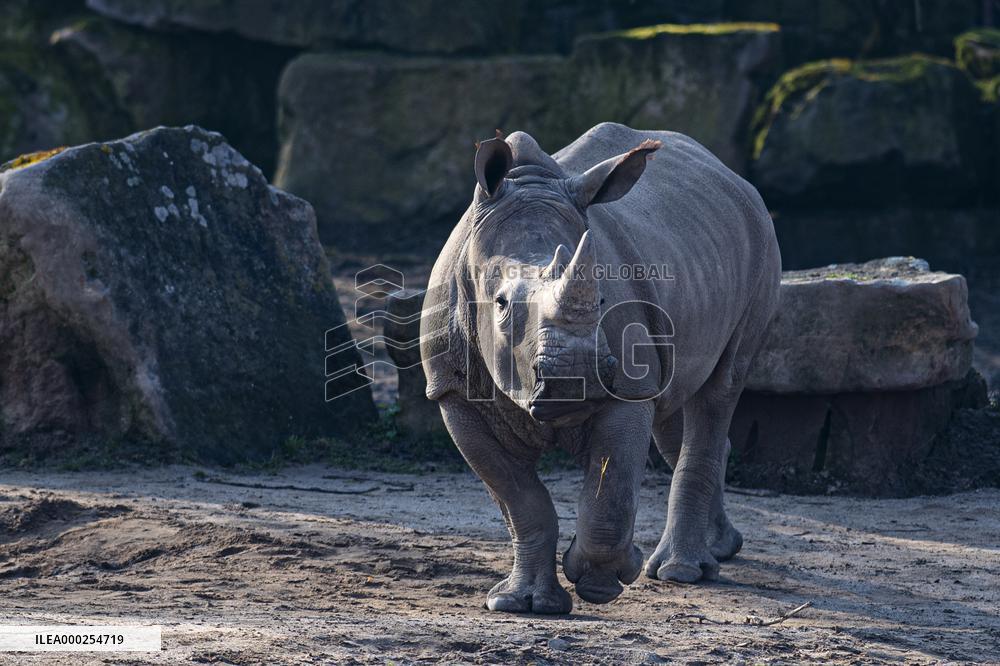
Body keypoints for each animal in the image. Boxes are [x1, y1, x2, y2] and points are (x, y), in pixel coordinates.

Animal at [420, 122, 781, 613]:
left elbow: (609, 491)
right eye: (501, 304)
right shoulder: (452, 392)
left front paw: (601, 581)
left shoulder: (625, 386)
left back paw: (681, 572)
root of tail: (731, 176)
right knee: (676, 406)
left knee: (720, 388)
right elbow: (519, 499)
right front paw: (521, 603)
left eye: (603, 297)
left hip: (759, 238)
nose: (577, 377)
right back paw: (719, 549)